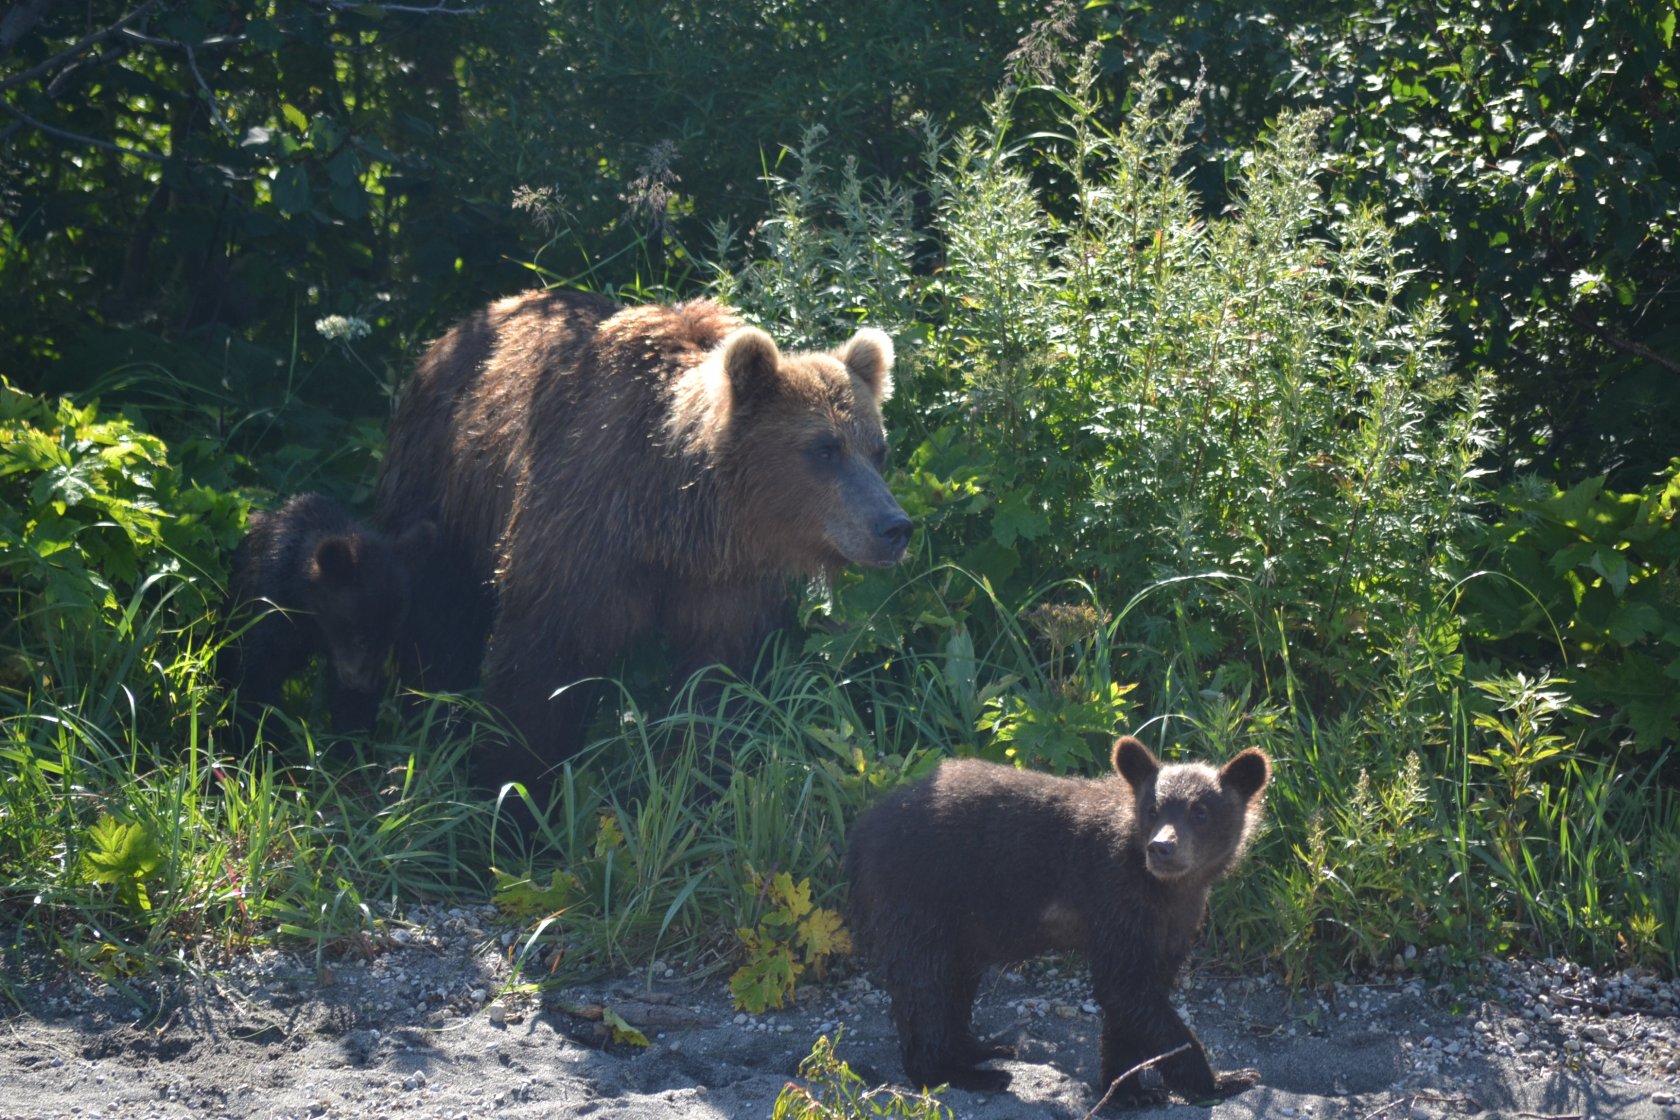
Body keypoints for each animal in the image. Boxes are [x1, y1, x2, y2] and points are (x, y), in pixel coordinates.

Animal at [376, 288, 913, 789]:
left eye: (878, 449)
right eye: (824, 449)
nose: (894, 526)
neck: (675, 517)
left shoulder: (725, 580)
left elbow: (716, 682)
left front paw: (699, 774)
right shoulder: (583, 532)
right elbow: (542, 670)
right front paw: (512, 787)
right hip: (442, 483)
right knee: (438, 607)